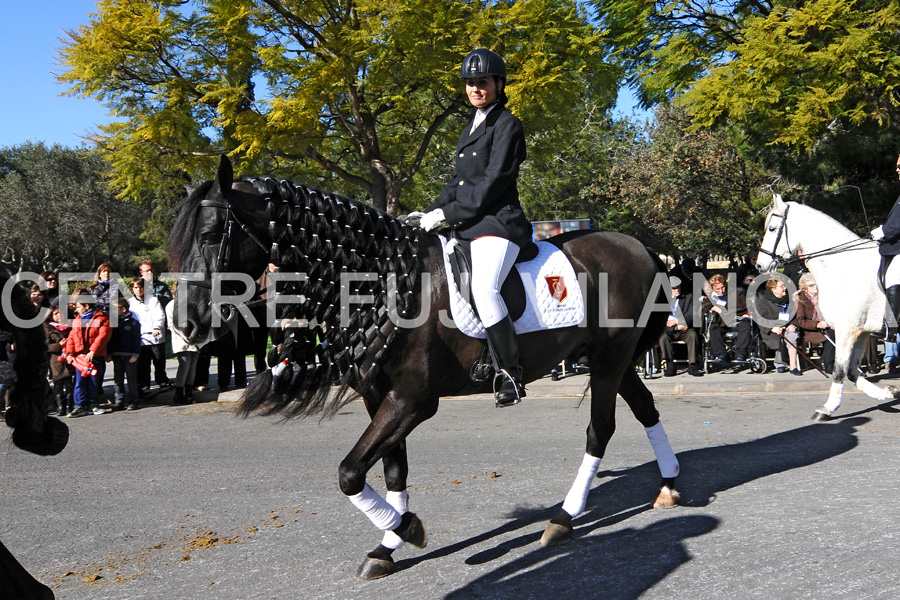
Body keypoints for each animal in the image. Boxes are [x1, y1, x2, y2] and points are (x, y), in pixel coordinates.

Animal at [169, 157, 680, 580]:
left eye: (210, 237)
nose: (186, 324)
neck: (381, 278)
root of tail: (639, 247)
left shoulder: (412, 401)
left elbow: (349, 472)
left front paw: (407, 528)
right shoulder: (381, 398)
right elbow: (392, 470)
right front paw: (388, 543)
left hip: (610, 360)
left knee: (600, 429)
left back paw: (564, 518)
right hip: (613, 359)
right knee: (645, 409)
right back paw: (669, 484)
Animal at [756, 195, 896, 420]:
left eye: (772, 228)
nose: (760, 265)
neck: (844, 266)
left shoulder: (847, 329)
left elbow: (839, 370)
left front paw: (827, 408)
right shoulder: (861, 332)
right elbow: (852, 371)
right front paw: (887, 392)